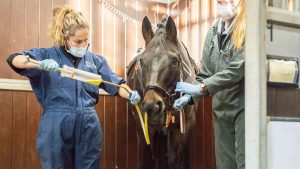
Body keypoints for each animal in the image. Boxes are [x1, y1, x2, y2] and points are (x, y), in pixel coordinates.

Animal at [126, 15, 198, 169]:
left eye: (175, 61)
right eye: (141, 62)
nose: (152, 105)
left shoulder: (186, 127)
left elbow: (179, 160)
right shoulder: (142, 127)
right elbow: (147, 160)